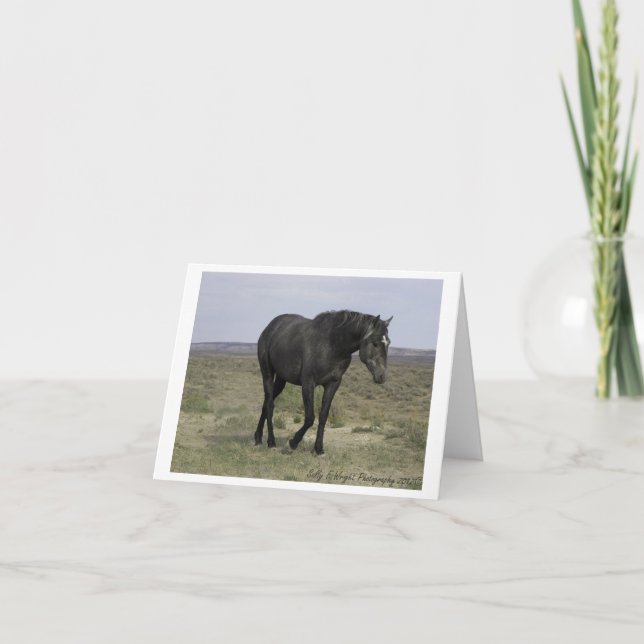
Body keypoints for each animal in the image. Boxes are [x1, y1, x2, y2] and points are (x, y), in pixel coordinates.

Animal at [254, 310, 392, 455]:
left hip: (281, 380)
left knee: (266, 404)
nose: (382, 376)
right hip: (267, 374)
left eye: (388, 343)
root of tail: (270, 328)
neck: (332, 344)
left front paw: (319, 448)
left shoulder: (333, 384)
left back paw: (258, 438)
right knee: (270, 405)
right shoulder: (308, 383)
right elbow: (310, 417)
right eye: (375, 343)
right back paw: (271, 442)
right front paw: (292, 443)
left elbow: (323, 416)